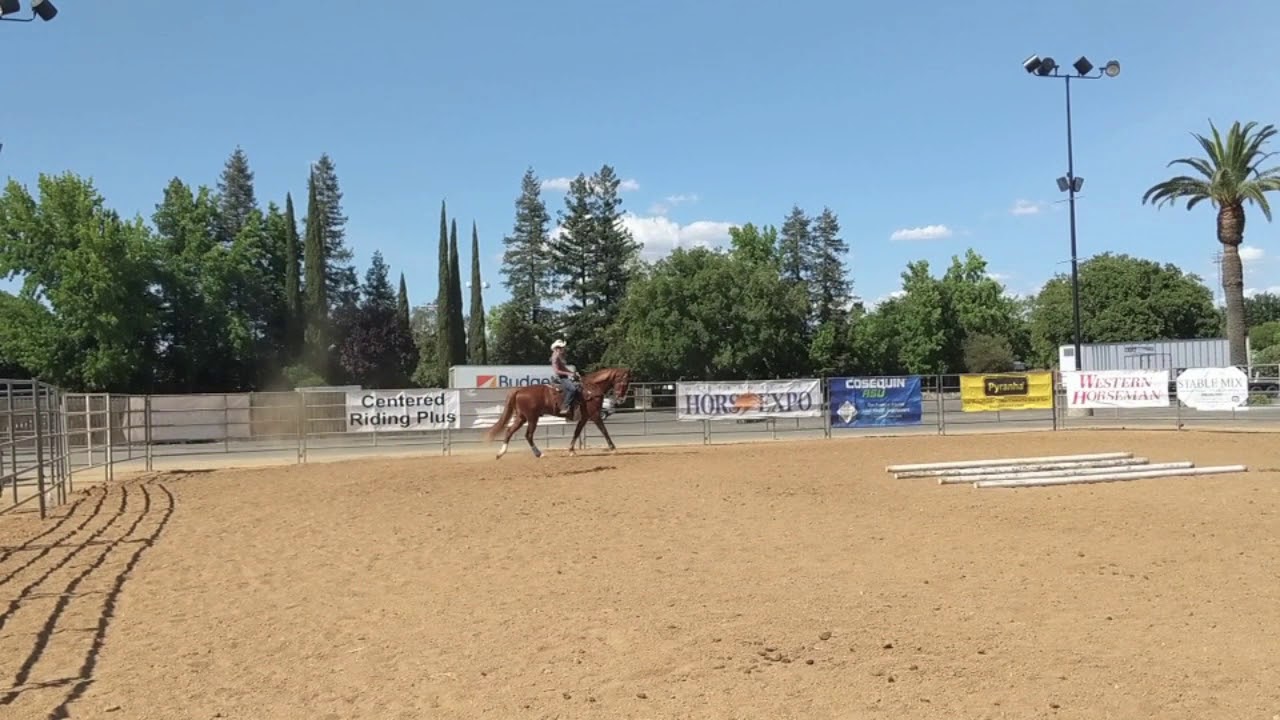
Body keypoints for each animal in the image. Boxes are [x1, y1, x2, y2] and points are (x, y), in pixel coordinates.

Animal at [484, 366, 632, 459]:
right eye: (624, 382)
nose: (621, 399)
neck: (591, 389)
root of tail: (520, 390)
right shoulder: (595, 415)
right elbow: (604, 430)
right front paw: (613, 448)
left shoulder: (584, 417)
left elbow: (577, 432)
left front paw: (571, 450)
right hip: (532, 418)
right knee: (528, 435)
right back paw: (539, 454)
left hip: (522, 418)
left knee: (510, 431)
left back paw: (500, 453)